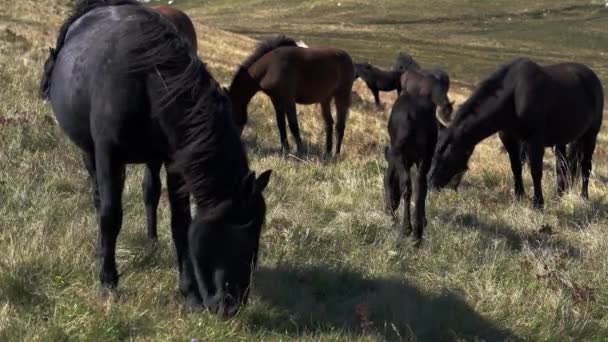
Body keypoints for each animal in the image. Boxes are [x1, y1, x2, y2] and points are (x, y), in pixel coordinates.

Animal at [39, 0, 272, 318]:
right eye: (241, 236)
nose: (231, 305)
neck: (147, 80)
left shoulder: (175, 163)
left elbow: (181, 224)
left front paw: (190, 293)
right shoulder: (108, 155)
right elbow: (110, 216)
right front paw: (108, 282)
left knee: (150, 190)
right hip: (90, 153)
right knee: (99, 199)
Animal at [384, 93, 436, 246]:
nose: (387, 209)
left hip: (403, 155)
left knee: (407, 186)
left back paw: (406, 229)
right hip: (426, 155)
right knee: (421, 186)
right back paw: (418, 232)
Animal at [428, 57, 604, 210]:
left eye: (446, 154)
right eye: (434, 153)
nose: (430, 184)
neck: (514, 96)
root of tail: (593, 78)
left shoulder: (534, 140)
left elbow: (535, 171)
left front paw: (538, 204)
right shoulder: (509, 138)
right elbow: (516, 167)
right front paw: (519, 196)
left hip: (590, 135)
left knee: (585, 166)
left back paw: (584, 197)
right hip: (561, 140)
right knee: (562, 166)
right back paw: (558, 196)